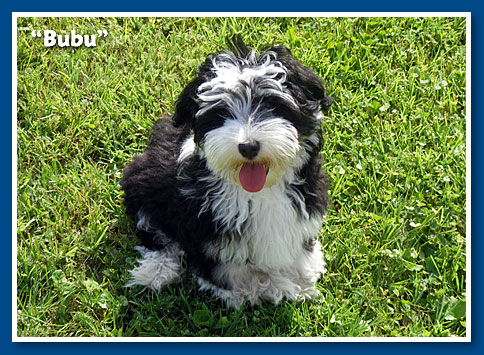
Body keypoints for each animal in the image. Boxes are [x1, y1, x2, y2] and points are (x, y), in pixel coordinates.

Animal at [120, 36, 332, 308]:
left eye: (272, 106)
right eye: (221, 114)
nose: (248, 146)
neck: (259, 191)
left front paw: (302, 274)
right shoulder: (206, 227)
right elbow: (225, 265)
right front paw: (252, 288)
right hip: (144, 181)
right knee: (153, 228)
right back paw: (158, 269)